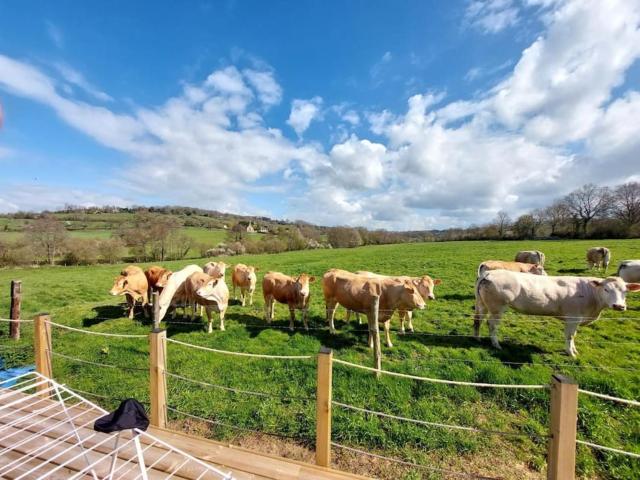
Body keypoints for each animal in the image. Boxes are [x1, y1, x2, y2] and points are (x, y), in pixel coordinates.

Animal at [472, 270, 636, 356]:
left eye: (625, 291)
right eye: (606, 289)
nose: (619, 306)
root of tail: (489, 272)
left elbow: (572, 336)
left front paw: (574, 350)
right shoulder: (573, 318)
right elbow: (570, 336)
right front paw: (571, 353)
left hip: (482, 304)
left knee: (478, 320)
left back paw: (478, 339)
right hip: (497, 308)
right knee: (492, 325)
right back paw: (496, 345)